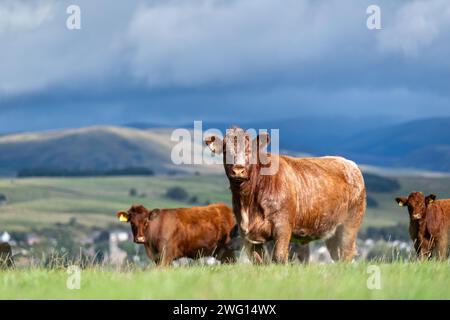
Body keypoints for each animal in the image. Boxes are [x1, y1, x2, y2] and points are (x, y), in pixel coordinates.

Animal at [204, 126, 366, 264]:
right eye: (226, 151)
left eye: (249, 151)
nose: (238, 170)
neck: (248, 203)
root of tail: (349, 163)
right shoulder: (248, 235)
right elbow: (259, 262)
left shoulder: (283, 226)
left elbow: (279, 257)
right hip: (332, 233)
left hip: (349, 226)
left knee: (346, 254)